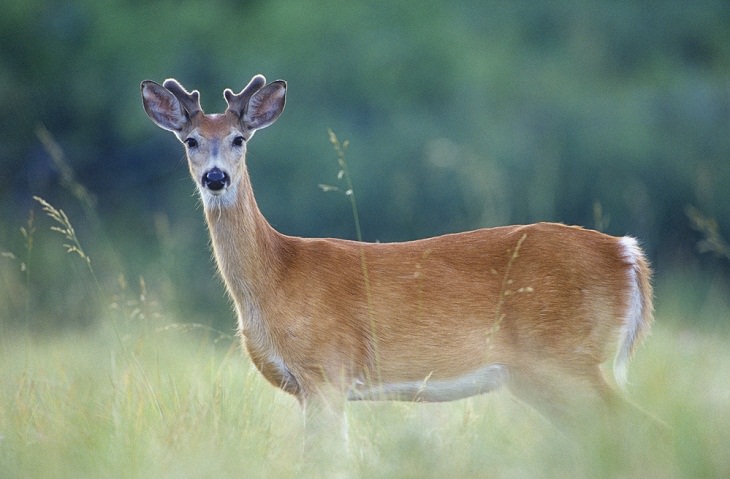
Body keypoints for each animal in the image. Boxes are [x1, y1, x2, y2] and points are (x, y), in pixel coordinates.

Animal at [141, 74, 656, 436]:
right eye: (190, 140)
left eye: (239, 139)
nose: (215, 178)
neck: (279, 274)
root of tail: (628, 254)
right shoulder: (313, 388)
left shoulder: (326, 371)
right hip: (544, 374)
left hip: (566, 357)